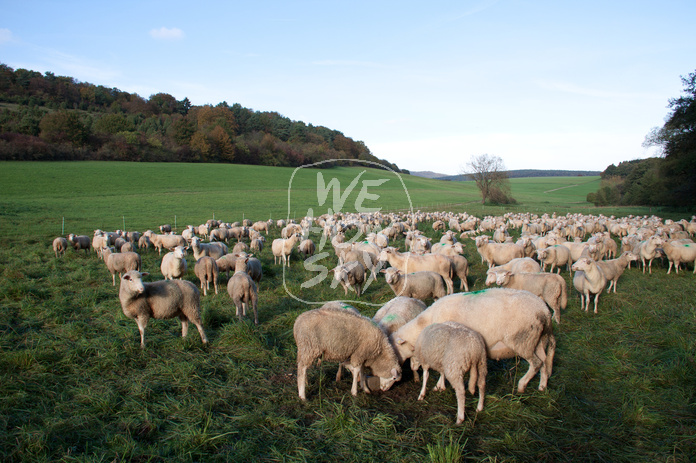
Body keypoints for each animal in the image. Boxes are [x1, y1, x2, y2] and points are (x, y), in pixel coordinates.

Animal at [394, 290, 556, 396]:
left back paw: (522, 385)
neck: (425, 324)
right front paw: (440, 385)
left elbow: (442, 370)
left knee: (536, 363)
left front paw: (439, 385)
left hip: (522, 340)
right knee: (543, 361)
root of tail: (545, 311)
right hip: (537, 341)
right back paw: (542, 386)